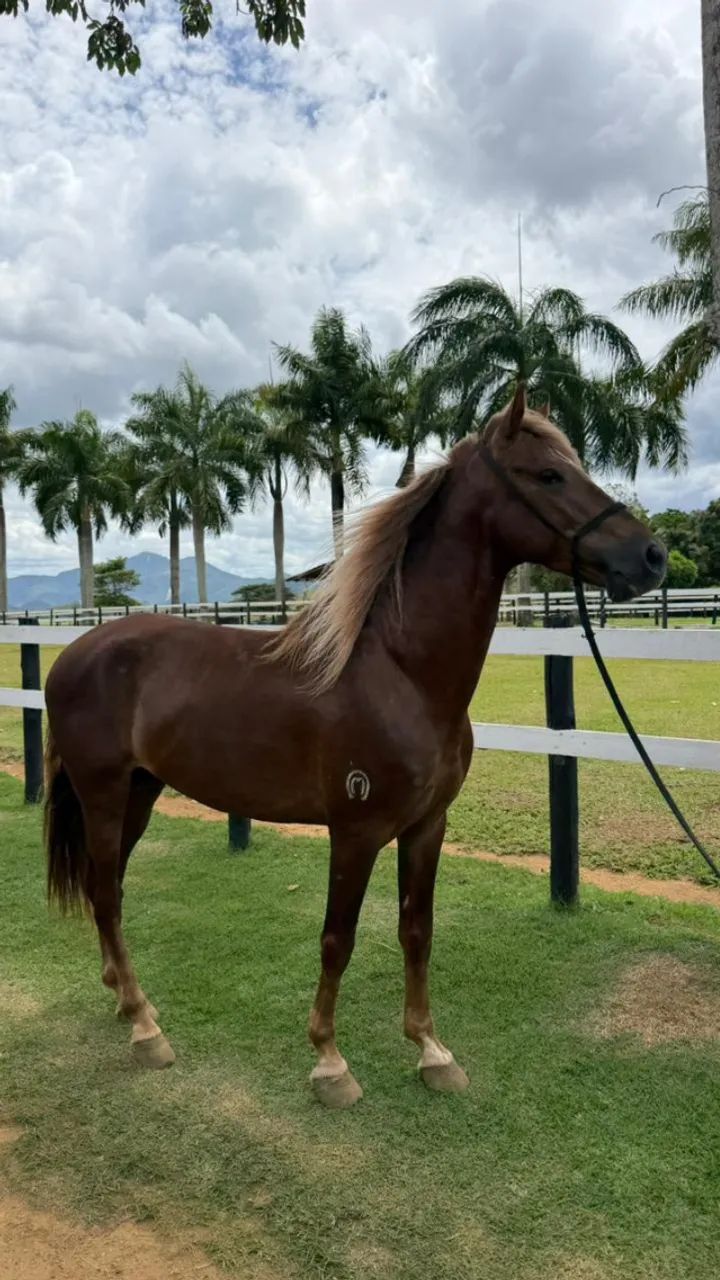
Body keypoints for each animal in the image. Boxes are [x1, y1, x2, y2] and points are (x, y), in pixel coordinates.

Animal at [43, 385, 666, 1107]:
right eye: (548, 475)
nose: (652, 556)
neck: (401, 673)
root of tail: (77, 651)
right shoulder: (357, 830)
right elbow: (337, 938)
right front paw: (329, 1062)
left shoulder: (427, 826)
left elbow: (416, 929)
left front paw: (431, 1050)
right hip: (104, 793)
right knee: (107, 892)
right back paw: (146, 1029)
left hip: (141, 792)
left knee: (106, 886)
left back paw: (126, 1002)